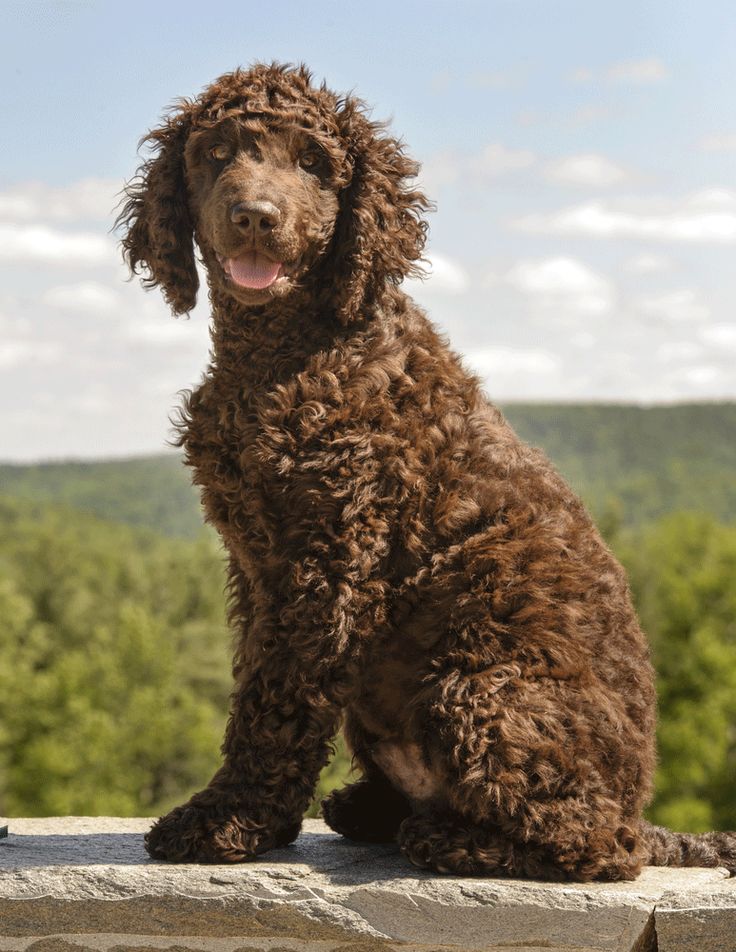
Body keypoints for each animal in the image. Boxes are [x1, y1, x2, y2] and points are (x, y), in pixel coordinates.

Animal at [118, 63, 732, 880]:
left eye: (313, 162)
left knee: (596, 846)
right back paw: (378, 809)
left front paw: (226, 821)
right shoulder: (257, 562)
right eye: (216, 153)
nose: (255, 218)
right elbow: (258, 684)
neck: (286, 356)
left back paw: (452, 837)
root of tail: (641, 811)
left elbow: (275, 704)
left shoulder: (330, 559)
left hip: (480, 684)